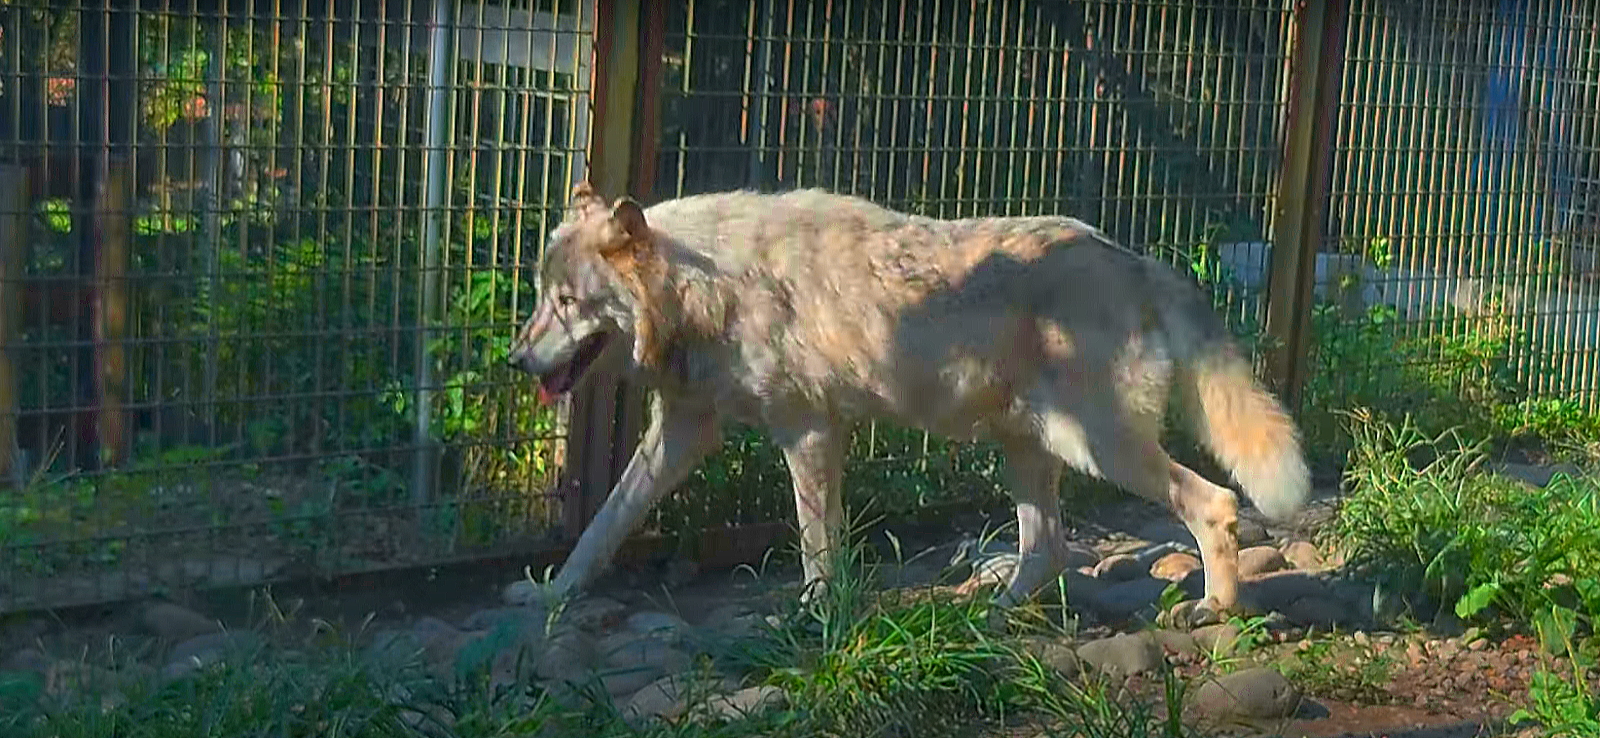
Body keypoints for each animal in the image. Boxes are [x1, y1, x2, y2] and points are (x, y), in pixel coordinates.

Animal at [505, 180, 1305, 624]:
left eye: (570, 304)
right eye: (542, 298)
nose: (515, 360)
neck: (710, 285)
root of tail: (1136, 259)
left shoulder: (808, 432)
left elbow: (817, 546)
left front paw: (816, 618)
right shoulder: (682, 432)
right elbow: (603, 525)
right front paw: (553, 595)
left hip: (1096, 447)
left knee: (1213, 503)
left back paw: (1212, 608)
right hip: (1028, 449)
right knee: (1046, 548)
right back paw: (992, 615)